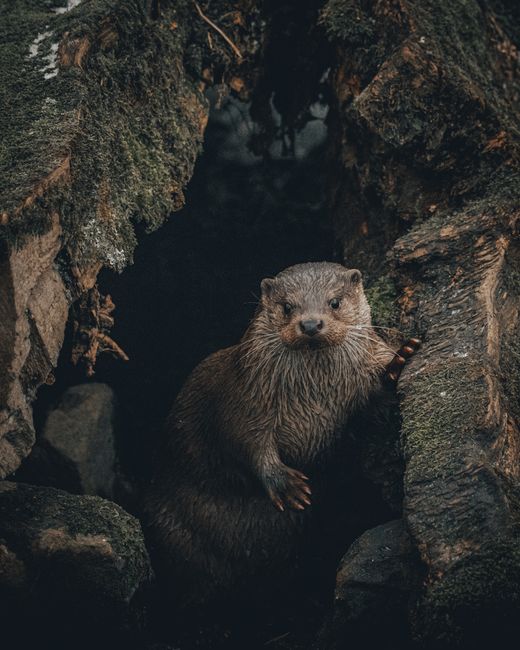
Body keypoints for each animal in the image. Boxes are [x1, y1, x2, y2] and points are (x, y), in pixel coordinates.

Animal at [144, 262, 418, 605]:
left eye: (335, 302)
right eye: (288, 307)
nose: (311, 324)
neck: (315, 400)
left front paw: (399, 360)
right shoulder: (245, 401)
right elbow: (246, 443)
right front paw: (286, 484)